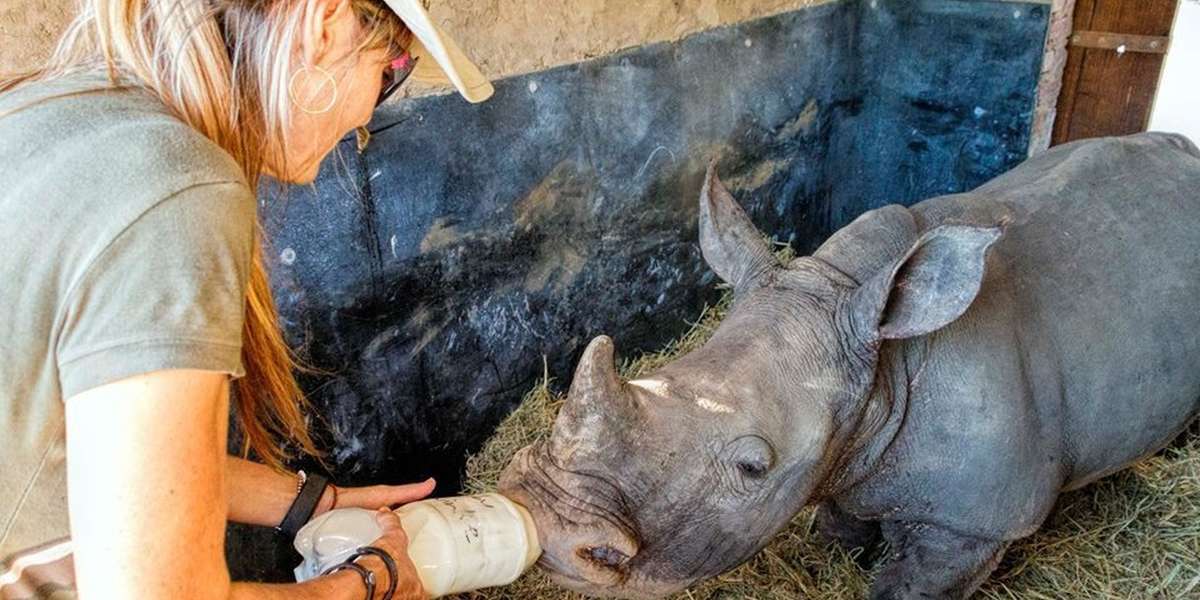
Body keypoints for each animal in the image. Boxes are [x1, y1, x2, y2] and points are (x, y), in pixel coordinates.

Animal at [496, 133, 1200, 597]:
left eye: (754, 467)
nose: (547, 518)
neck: (885, 365)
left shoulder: (973, 521)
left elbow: (912, 585)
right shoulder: (849, 450)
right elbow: (837, 524)